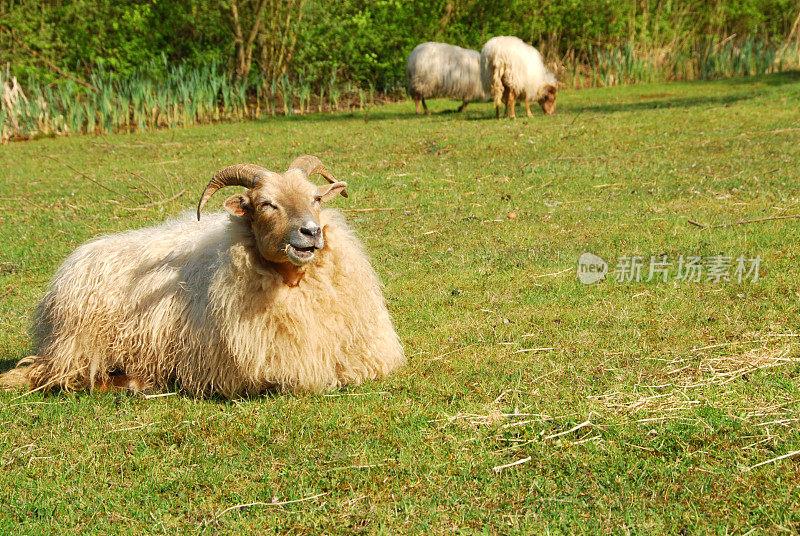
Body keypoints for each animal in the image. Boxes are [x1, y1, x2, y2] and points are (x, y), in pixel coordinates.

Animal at [0, 155, 406, 398]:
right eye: (265, 204)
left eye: (317, 199)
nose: (311, 232)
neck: (294, 281)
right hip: (78, 346)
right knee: (57, 378)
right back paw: (131, 383)